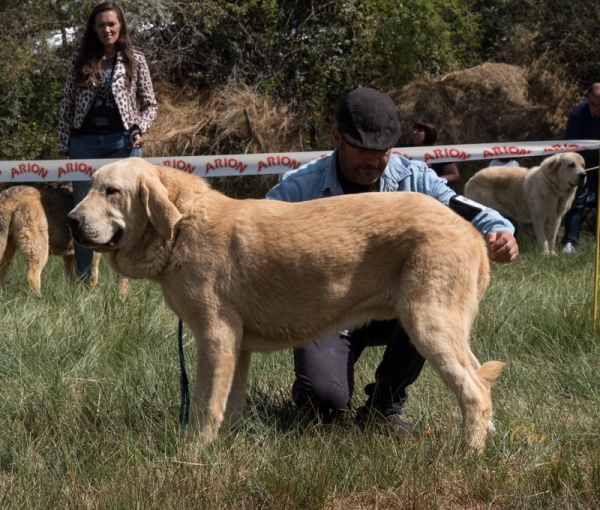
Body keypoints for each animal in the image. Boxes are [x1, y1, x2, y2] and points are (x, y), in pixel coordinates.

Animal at [68, 157, 504, 452]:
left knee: (473, 392)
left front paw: (194, 452)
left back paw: (469, 453)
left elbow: (206, 405)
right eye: (90, 187)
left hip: (425, 322)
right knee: (481, 379)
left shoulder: (215, 338)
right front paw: (225, 447)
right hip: (445, 327)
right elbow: (231, 404)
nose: (71, 220)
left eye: (112, 191)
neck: (181, 228)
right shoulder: (236, 347)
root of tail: (470, 230)